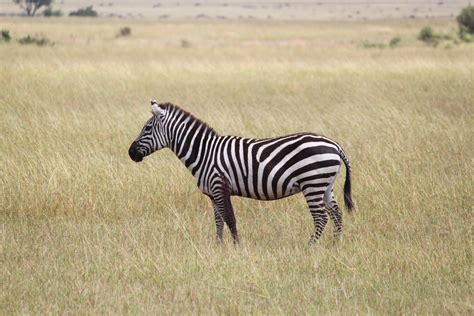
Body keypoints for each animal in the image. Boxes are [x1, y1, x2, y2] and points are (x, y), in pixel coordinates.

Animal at [128, 100, 354, 243]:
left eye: (147, 128)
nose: (130, 153)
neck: (204, 152)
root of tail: (335, 145)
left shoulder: (220, 185)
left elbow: (230, 219)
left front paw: (236, 247)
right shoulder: (212, 194)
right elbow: (218, 221)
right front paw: (218, 246)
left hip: (312, 183)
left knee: (321, 217)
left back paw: (310, 246)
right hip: (325, 185)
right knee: (337, 213)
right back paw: (336, 244)